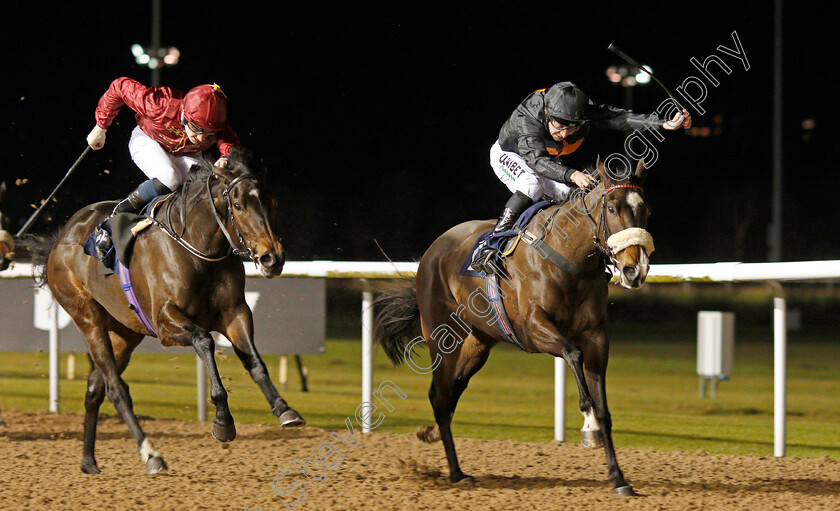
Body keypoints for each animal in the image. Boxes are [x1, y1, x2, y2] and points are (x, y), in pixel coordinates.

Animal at [22, 149, 306, 476]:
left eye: (271, 203)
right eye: (238, 205)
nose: (273, 258)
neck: (197, 247)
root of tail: (61, 238)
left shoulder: (235, 312)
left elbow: (254, 361)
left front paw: (284, 409)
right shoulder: (165, 322)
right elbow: (205, 340)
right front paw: (222, 421)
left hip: (125, 332)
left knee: (96, 387)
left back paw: (89, 461)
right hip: (87, 317)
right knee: (116, 388)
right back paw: (151, 455)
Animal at [378, 159, 652, 496]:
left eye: (645, 210)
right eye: (612, 208)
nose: (635, 270)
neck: (569, 258)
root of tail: (432, 250)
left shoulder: (597, 337)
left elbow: (604, 408)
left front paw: (618, 478)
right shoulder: (534, 329)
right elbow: (573, 355)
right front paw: (589, 427)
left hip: (478, 343)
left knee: (454, 388)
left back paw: (432, 435)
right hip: (443, 337)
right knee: (440, 396)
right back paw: (455, 472)